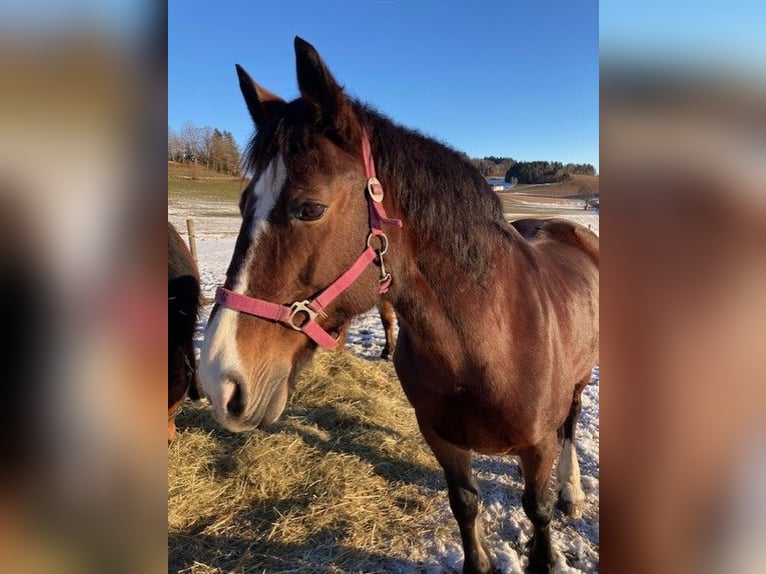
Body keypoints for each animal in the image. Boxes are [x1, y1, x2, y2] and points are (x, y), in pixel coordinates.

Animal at [200, 38, 600, 572]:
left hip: (579, 379)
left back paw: (571, 490)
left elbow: (538, 512)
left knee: (571, 425)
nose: (218, 379)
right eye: (243, 204)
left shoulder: (536, 446)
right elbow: (465, 505)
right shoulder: (441, 438)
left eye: (310, 208)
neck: (485, 344)